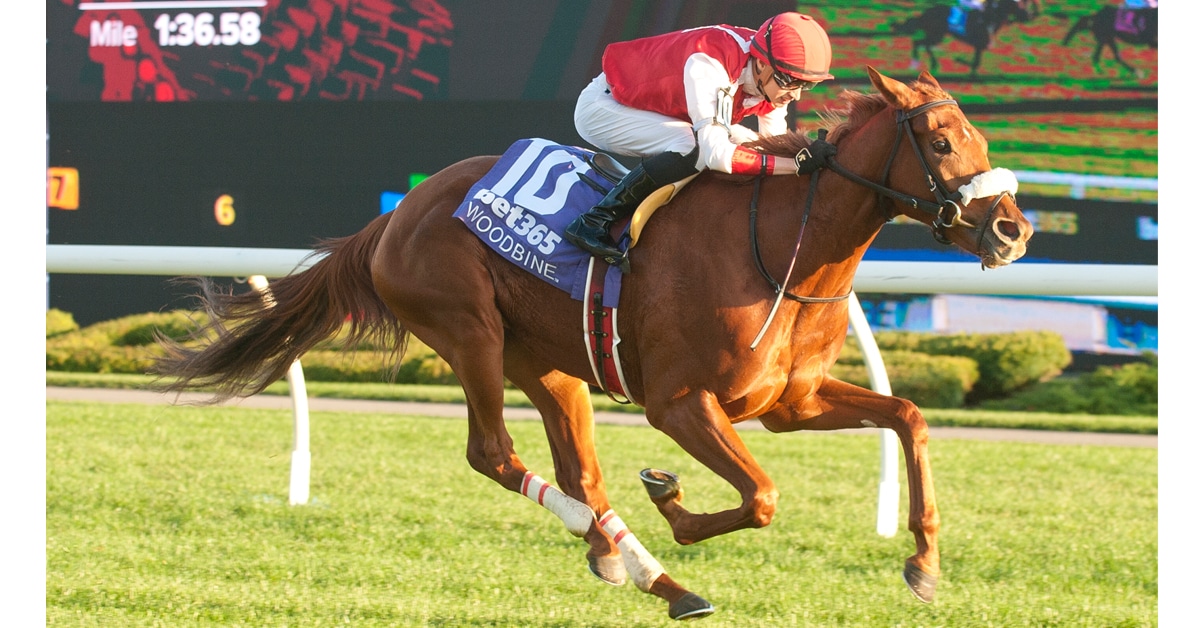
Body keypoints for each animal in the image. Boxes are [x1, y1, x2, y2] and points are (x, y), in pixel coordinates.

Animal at [152, 67, 1033, 620]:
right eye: (942, 142)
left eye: (982, 138)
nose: (1012, 230)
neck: (785, 243)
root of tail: (395, 216)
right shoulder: (679, 405)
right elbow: (761, 496)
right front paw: (672, 500)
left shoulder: (792, 401)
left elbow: (909, 417)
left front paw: (924, 565)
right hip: (469, 331)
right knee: (495, 455)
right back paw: (643, 559)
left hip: (549, 362)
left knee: (581, 471)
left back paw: (650, 574)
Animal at [896, 0, 1041, 77]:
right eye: (1018, 4)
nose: (1028, 15)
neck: (991, 16)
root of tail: (926, 13)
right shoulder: (980, 44)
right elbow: (975, 63)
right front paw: (959, 61)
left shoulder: (980, 47)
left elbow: (975, 64)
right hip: (936, 34)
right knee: (918, 42)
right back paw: (915, 64)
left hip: (936, 35)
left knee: (924, 45)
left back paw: (933, 64)